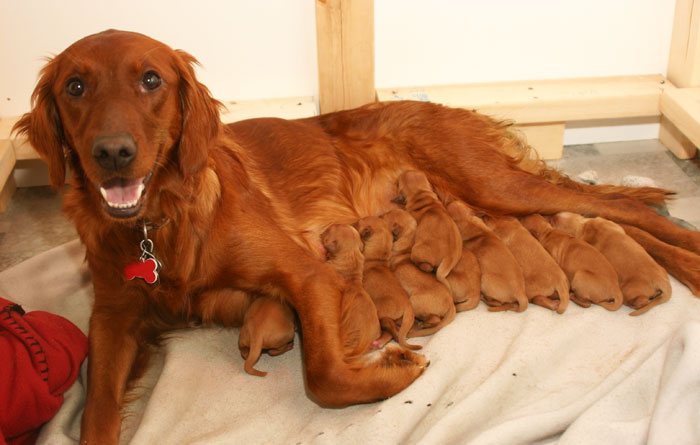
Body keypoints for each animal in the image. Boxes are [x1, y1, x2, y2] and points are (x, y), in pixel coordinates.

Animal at [356, 216, 422, 350]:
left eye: (359, 223)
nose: (355, 222)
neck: (377, 258)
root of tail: (408, 305)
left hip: (380, 311)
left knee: (390, 326)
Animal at [380, 208, 456, 336]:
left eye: (384, 217)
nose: (379, 215)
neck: (407, 242)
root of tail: (451, 302)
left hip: (414, 302)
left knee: (434, 319)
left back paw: (421, 324)